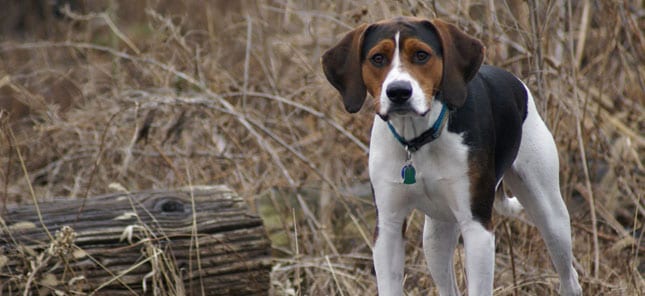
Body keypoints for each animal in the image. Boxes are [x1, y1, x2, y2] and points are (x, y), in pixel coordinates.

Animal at [320, 16, 580, 296]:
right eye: (377, 58)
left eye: (421, 55)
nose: (398, 91)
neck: (419, 140)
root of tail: (514, 80)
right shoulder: (388, 227)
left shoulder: (477, 227)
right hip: (435, 236)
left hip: (551, 216)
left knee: (569, 277)